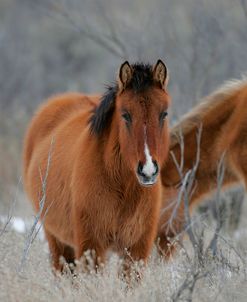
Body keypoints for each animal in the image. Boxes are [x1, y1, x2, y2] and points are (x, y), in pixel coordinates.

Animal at [22, 59, 170, 272]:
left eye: (163, 114)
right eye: (125, 115)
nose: (148, 170)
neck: (123, 187)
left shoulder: (137, 250)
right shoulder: (92, 246)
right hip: (57, 241)